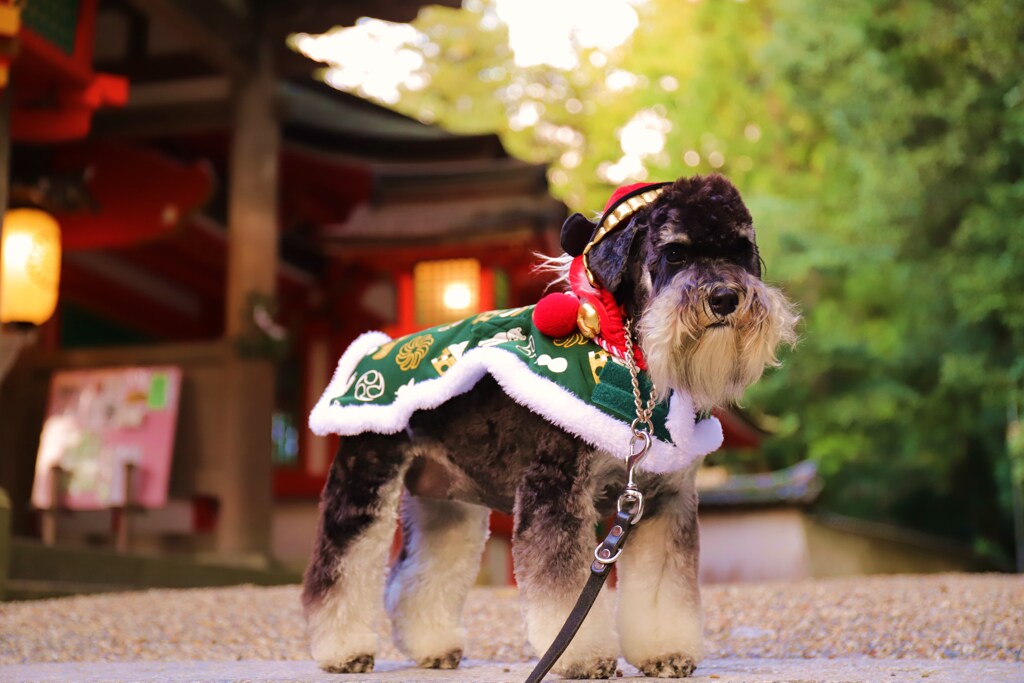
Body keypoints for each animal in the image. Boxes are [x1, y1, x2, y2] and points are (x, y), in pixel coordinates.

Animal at [299, 174, 794, 675]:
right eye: (675, 252)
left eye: (740, 251)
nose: (725, 298)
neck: (632, 360)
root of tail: (371, 352)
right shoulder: (556, 492)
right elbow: (563, 587)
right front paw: (583, 658)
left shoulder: (663, 502)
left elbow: (663, 589)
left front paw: (665, 651)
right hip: (365, 479)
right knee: (341, 567)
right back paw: (344, 650)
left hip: (447, 504)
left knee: (420, 572)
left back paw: (432, 647)